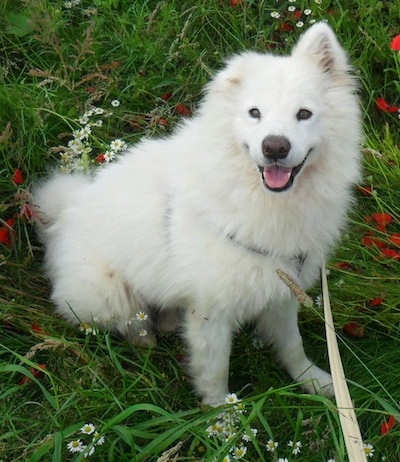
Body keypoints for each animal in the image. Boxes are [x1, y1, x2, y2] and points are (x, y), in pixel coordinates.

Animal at [32, 22, 360, 404]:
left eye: (303, 114)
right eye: (255, 113)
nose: (275, 147)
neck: (263, 200)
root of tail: (63, 213)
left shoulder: (282, 289)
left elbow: (292, 346)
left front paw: (317, 383)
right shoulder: (211, 310)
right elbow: (215, 369)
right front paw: (224, 415)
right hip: (108, 293)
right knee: (132, 324)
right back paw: (149, 340)